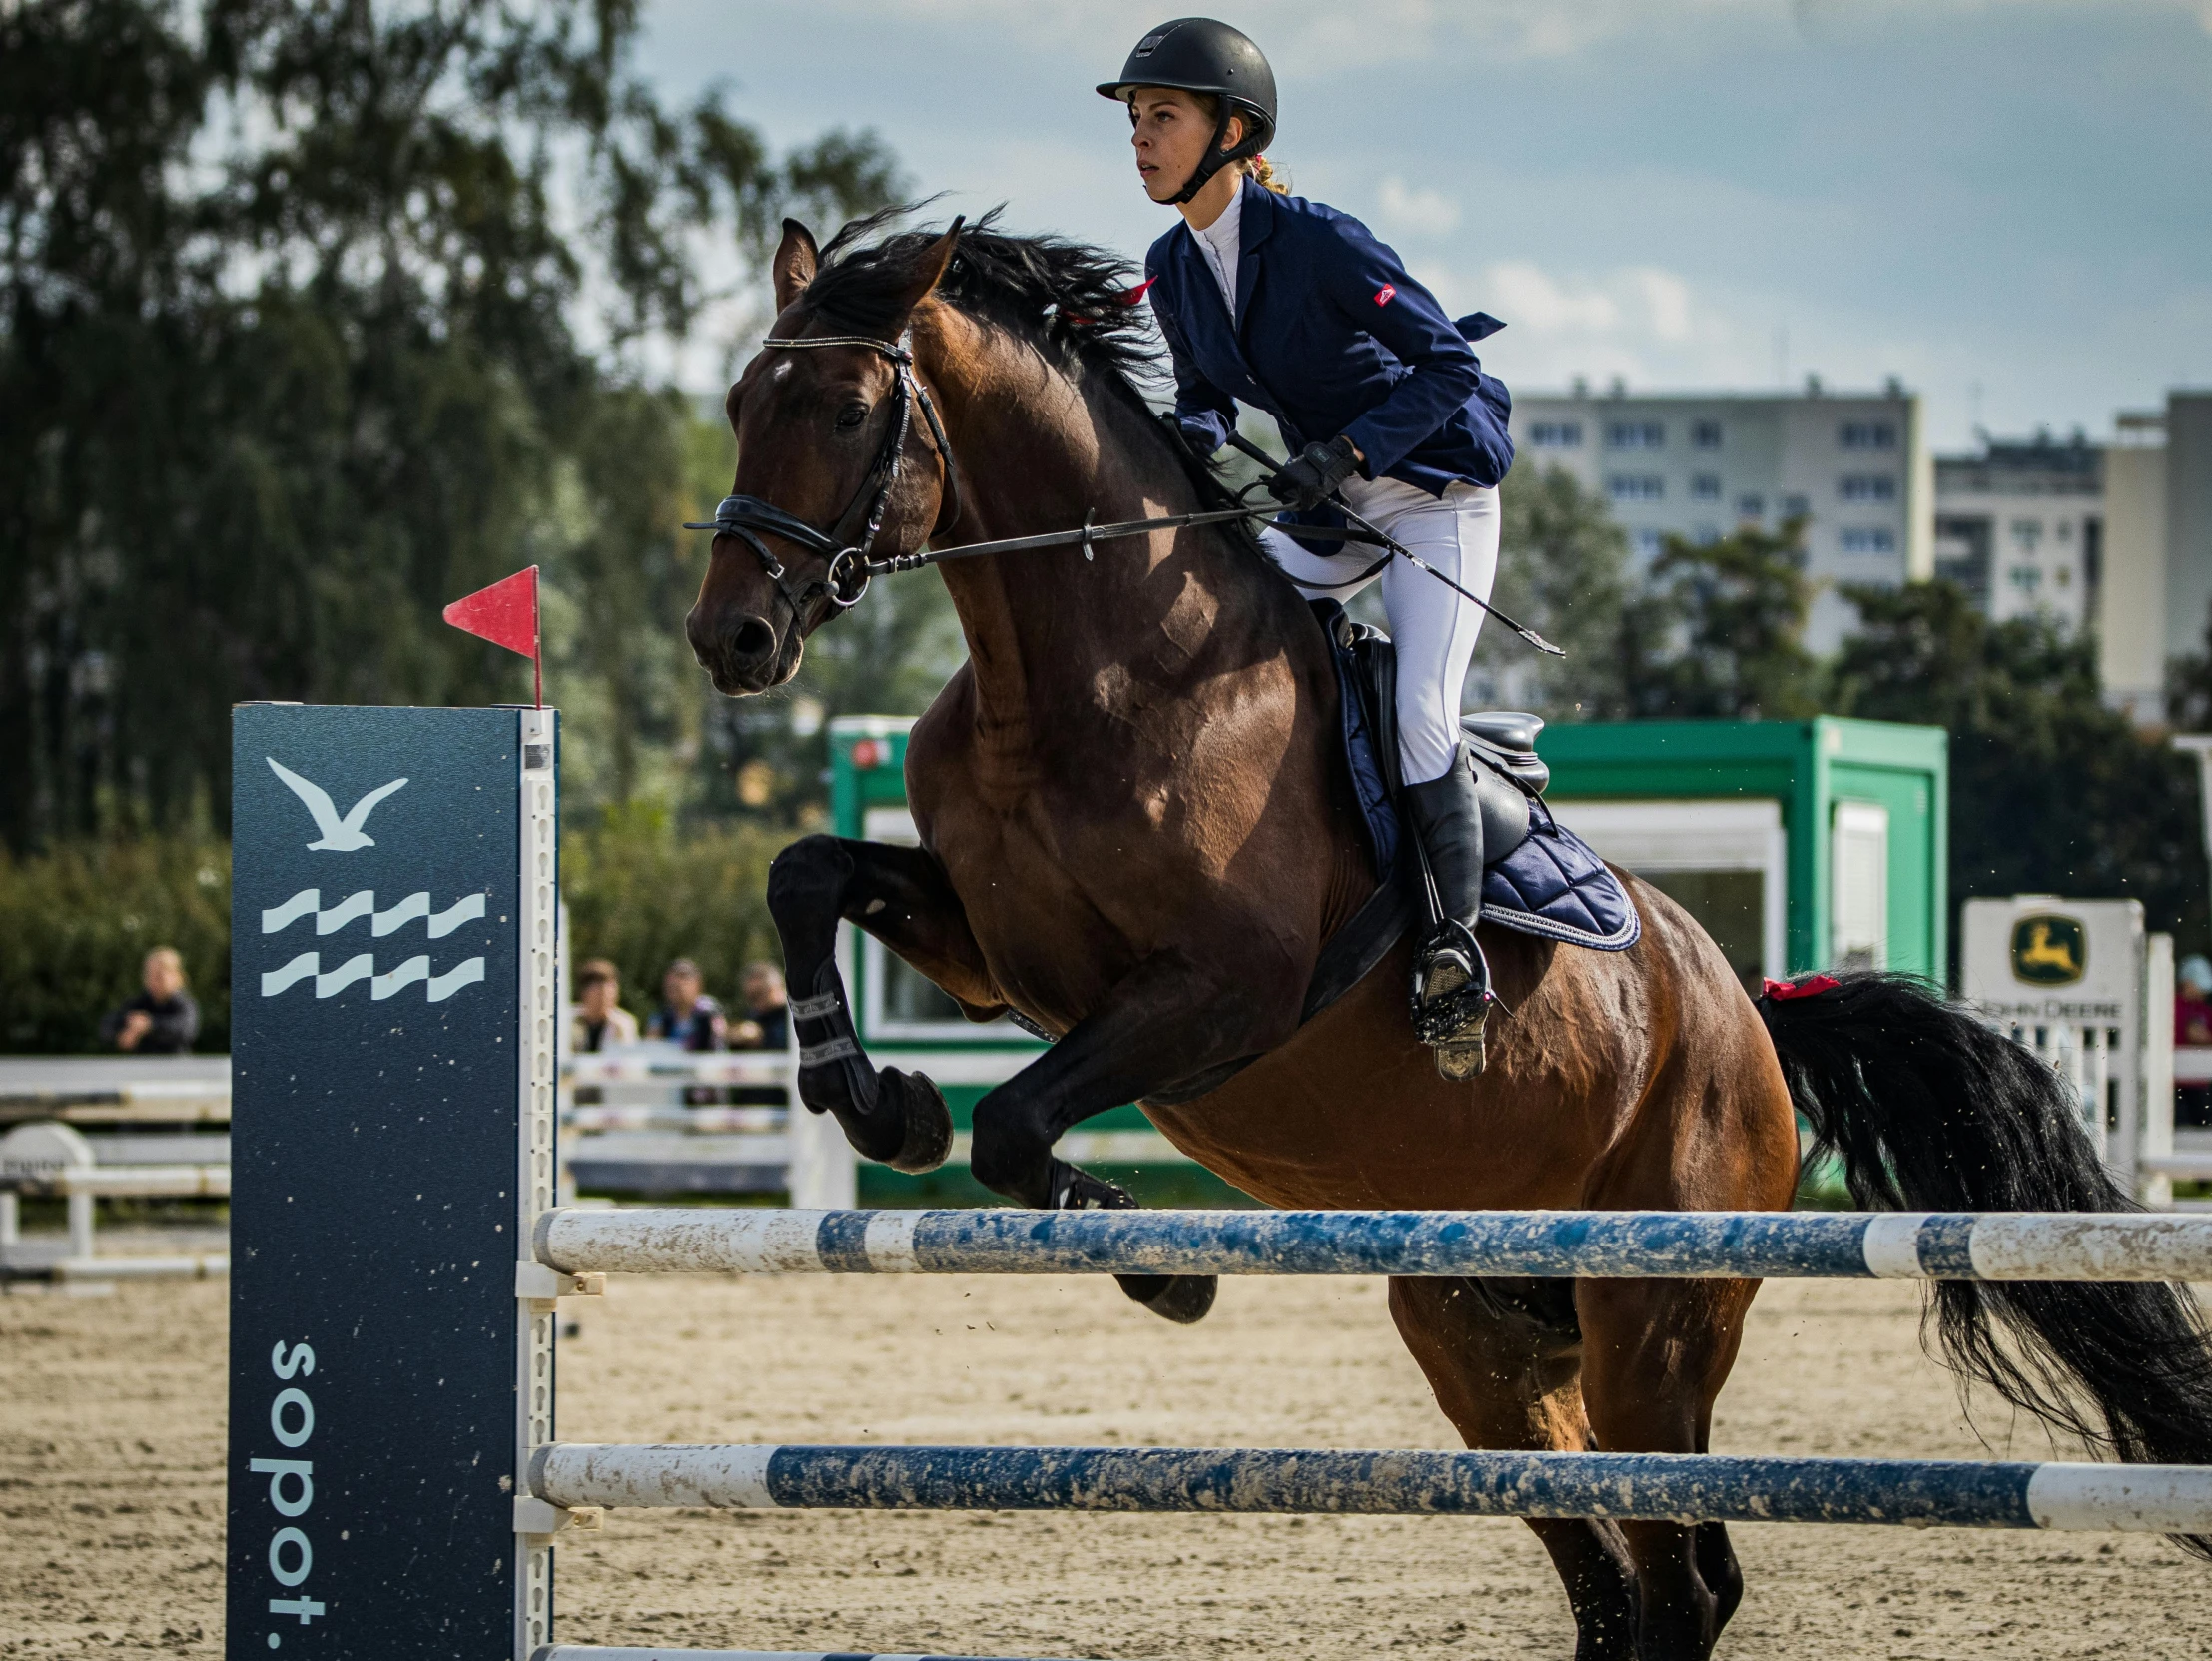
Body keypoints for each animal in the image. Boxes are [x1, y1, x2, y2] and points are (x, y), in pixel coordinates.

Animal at [690, 214, 2212, 1654]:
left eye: (844, 410)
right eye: (738, 402)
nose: (731, 637)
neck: (1086, 671)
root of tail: (1750, 1017)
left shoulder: (1222, 993)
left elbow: (1012, 1124)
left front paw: (1155, 1257)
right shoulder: (997, 955)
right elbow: (806, 875)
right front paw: (871, 1093)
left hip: (1649, 1325)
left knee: (1681, 1577)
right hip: (1476, 1329)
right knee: (1612, 1580)